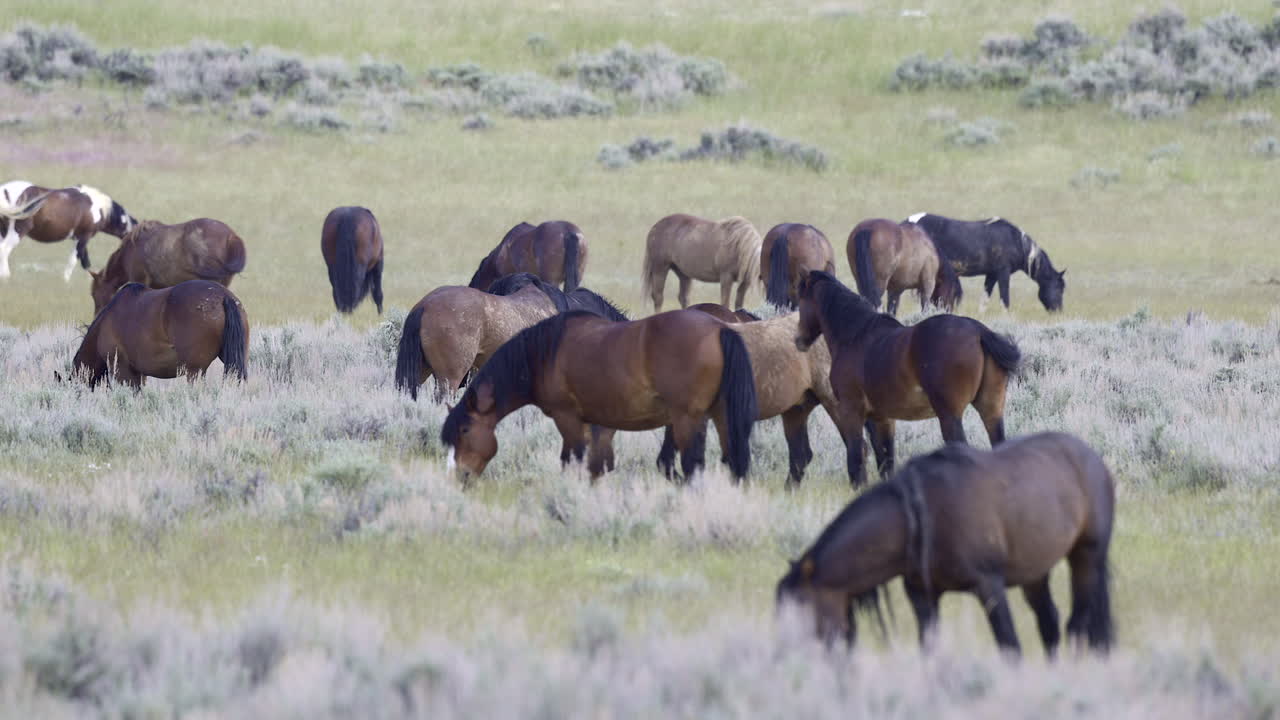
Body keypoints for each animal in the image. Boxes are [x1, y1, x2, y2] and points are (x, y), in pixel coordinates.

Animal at [0, 181, 136, 280]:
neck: (97, 208)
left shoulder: (79, 238)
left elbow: (85, 261)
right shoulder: (84, 236)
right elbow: (75, 260)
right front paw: (65, 280)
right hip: (18, 231)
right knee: (4, 249)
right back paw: (7, 277)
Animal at [442, 309, 758, 482]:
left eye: (464, 429)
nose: (461, 476)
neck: (543, 354)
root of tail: (718, 329)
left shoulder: (567, 418)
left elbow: (572, 459)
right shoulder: (592, 423)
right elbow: (597, 464)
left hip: (686, 419)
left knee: (693, 465)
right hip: (719, 416)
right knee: (733, 460)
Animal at [777, 432, 1115, 657]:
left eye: (800, 609)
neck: (920, 517)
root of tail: (1091, 456)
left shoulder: (989, 586)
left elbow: (1009, 646)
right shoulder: (922, 596)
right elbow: (930, 651)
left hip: (1087, 556)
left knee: (1077, 625)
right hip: (1034, 572)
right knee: (1050, 623)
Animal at [794, 271, 1021, 487]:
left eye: (801, 301)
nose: (798, 340)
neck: (855, 337)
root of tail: (978, 332)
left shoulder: (852, 411)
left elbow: (856, 456)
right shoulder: (882, 418)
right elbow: (886, 460)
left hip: (950, 415)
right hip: (991, 410)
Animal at [905, 213, 1065, 312]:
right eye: (1059, 288)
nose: (1058, 311)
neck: (1015, 241)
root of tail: (907, 222)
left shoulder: (992, 275)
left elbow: (985, 298)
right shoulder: (1003, 273)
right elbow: (1005, 299)